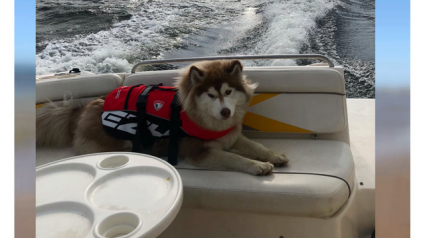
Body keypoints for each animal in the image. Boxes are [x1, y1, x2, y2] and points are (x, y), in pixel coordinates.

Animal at [37, 59, 288, 175]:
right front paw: (258, 165)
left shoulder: (231, 136)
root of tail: (82, 110)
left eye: (228, 92)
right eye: (210, 95)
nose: (226, 112)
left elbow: (256, 146)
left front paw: (274, 155)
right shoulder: (198, 151)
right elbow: (235, 158)